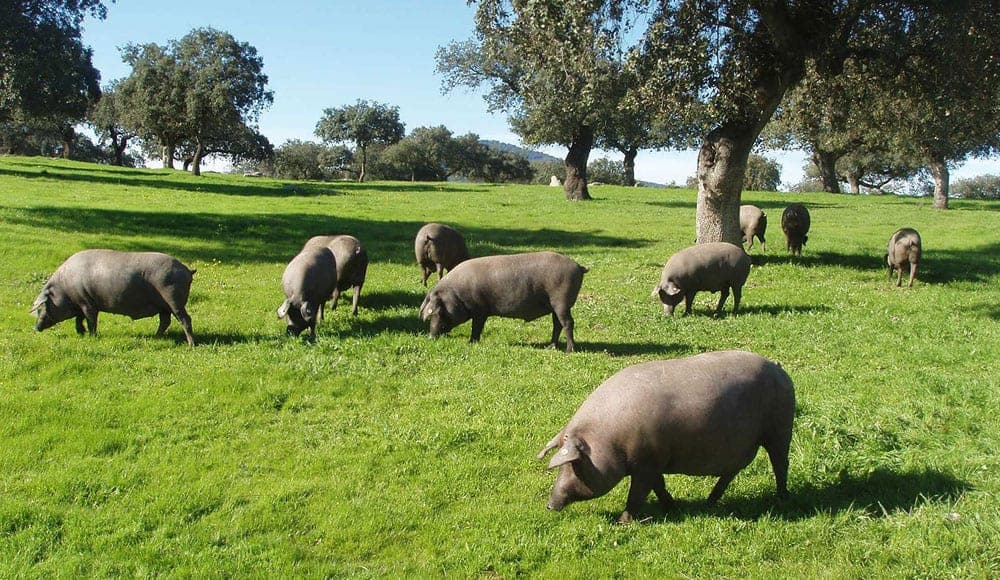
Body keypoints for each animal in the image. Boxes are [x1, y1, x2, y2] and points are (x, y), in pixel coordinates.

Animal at [30, 249, 196, 347]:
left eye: (42, 307)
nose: (36, 328)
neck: (64, 290)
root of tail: (186, 269)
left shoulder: (87, 303)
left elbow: (90, 320)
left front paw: (92, 336)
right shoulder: (81, 304)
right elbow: (79, 319)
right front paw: (80, 333)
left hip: (173, 299)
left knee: (185, 319)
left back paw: (191, 345)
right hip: (163, 306)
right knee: (165, 321)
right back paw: (155, 337)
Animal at [418, 251, 588, 353]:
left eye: (438, 311)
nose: (430, 337)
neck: (458, 294)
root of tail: (578, 267)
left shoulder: (480, 310)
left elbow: (476, 327)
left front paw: (470, 343)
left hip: (561, 301)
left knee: (568, 323)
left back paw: (569, 350)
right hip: (555, 306)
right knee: (557, 324)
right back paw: (550, 347)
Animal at [538, 350, 795, 523]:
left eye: (575, 465)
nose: (549, 505)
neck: (609, 440)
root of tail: (777, 367)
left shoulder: (645, 463)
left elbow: (638, 494)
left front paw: (622, 523)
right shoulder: (652, 461)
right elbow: (658, 485)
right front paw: (672, 506)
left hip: (780, 429)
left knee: (780, 463)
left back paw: (782, 498)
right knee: (732, 472)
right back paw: (709, 502)